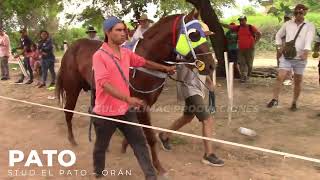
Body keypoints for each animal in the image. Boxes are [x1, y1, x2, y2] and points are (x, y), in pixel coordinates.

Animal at [55, 10, 215, 174]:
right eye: (194, 34)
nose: (211, 65)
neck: (146, 59)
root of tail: (71, 48)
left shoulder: (145, 103)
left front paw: (125, 145)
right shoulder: (141, 104)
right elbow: (150, 137)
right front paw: (158, 166)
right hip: (73, 88)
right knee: (68, 111)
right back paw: (72, 140)